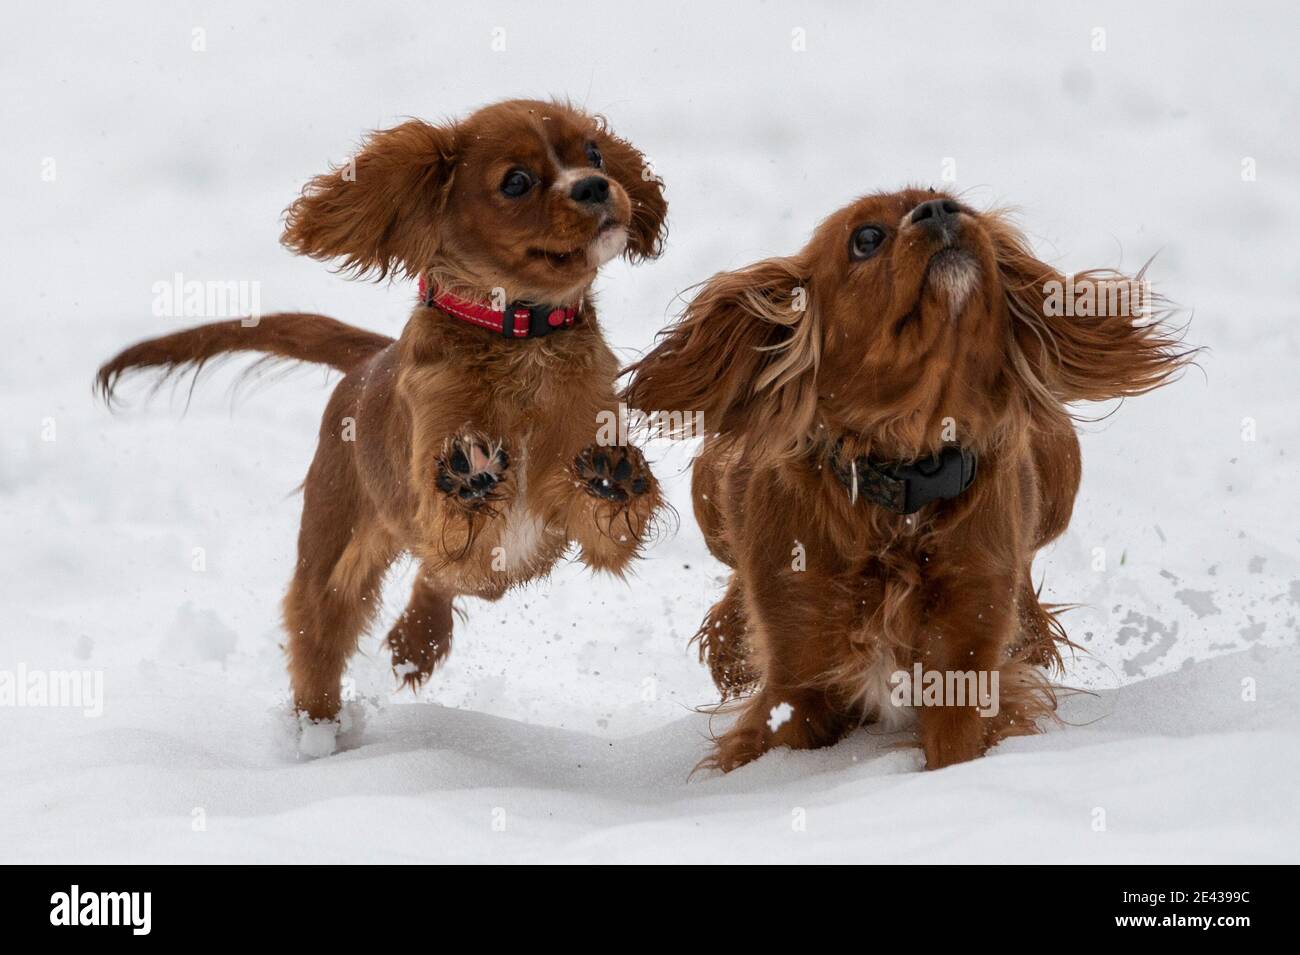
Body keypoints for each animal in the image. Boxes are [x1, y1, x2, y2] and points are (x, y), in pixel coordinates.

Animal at [624, 187, 1190, 769]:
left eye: (960, 205)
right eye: (866, 238)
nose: (939, 210)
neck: (905, 479)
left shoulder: (963, 665)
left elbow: (958, 742)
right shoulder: (796, 681)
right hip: (711, 507)